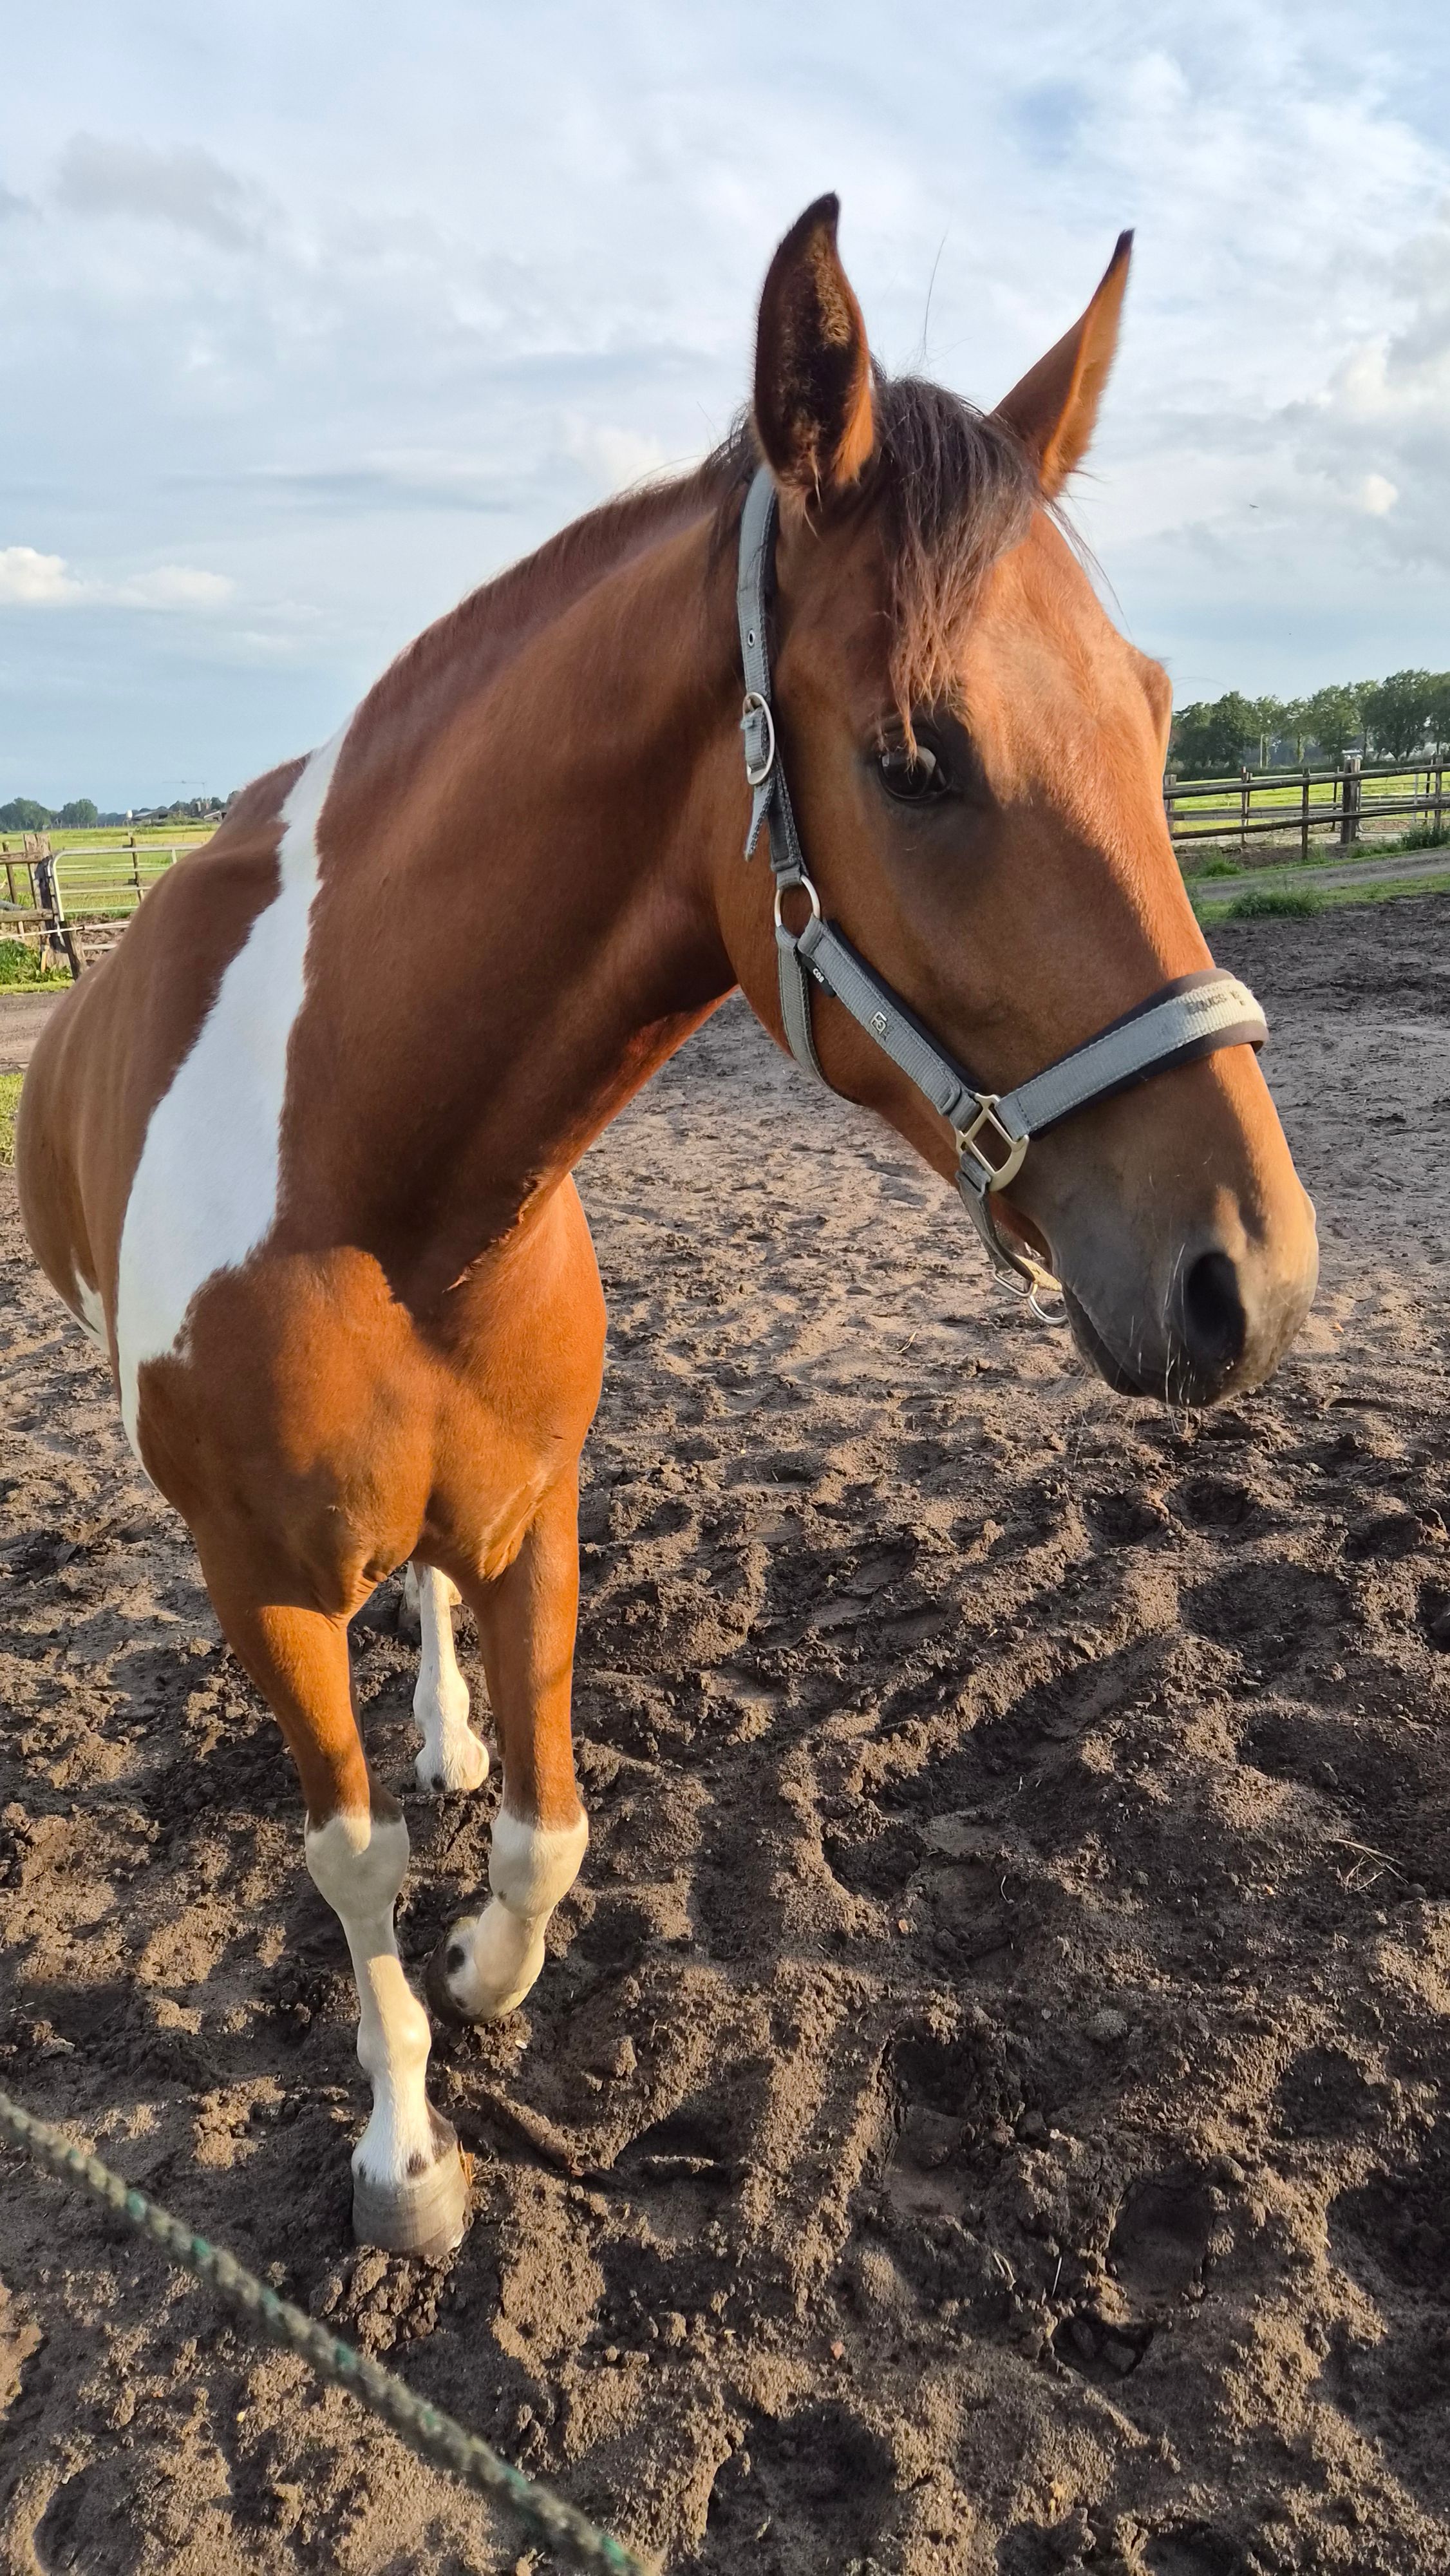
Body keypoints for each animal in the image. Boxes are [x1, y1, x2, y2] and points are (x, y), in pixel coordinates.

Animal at [16, 197, 1318, 2260]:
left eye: (1156, 710)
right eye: (915, 758)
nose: (1245, 1281)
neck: (375, 1187)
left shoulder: (537, 1500)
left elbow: (546, 1823)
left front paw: (486, 1963)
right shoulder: (260, 1584)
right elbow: (347, 1860)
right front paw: (406, 2153)